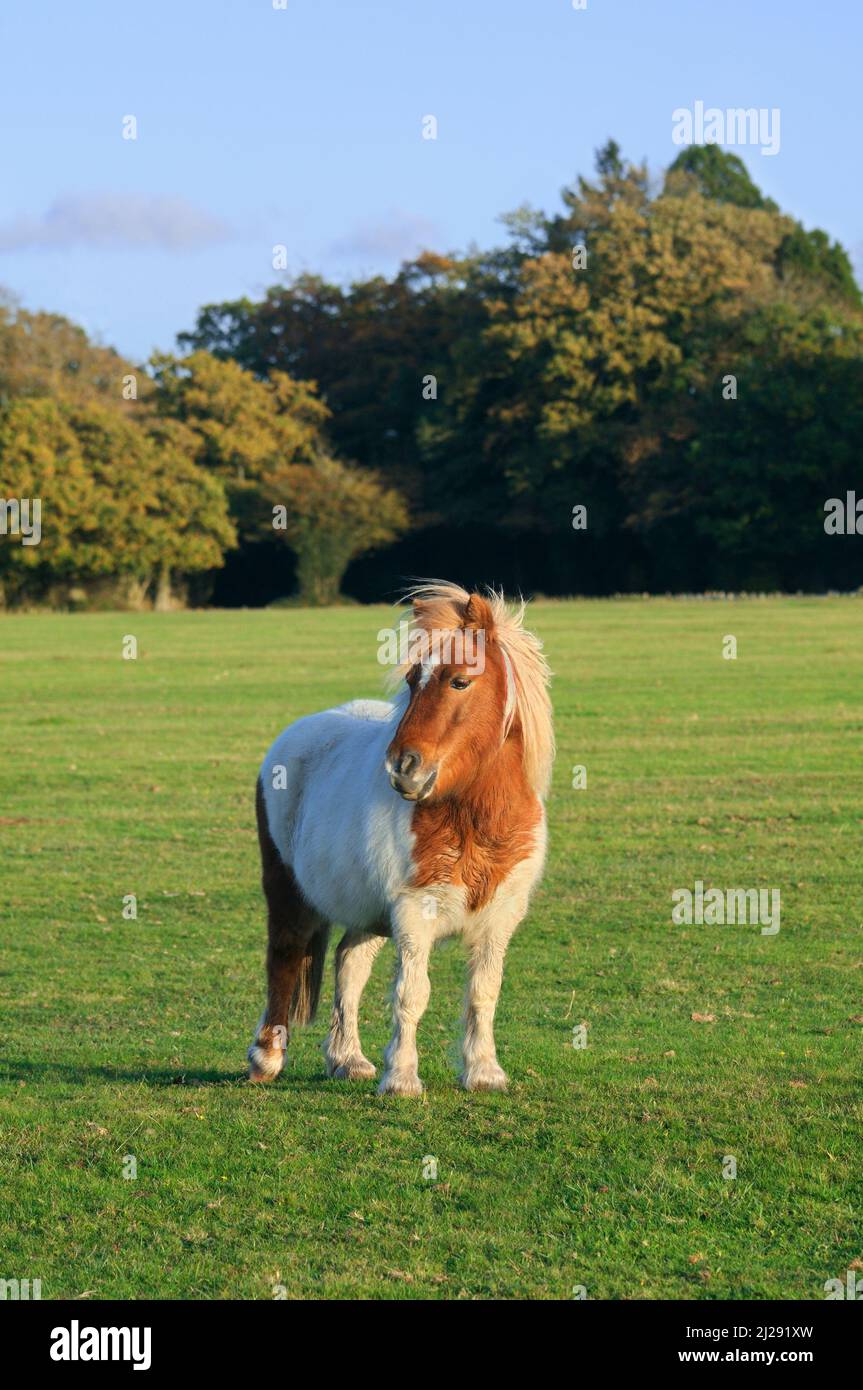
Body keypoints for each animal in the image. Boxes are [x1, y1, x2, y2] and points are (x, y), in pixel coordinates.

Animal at [245, 578, 555, 1095]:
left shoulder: (500, 918)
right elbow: (412, 994)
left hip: (364, 908)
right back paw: (266, 1058)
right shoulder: (414, 913)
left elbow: (483, 992)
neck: (472, 820)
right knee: (284, 957)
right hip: (287, 889)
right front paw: (403, 1078)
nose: (402, 767)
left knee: (349, 964)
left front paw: (484, 1072)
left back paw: (348, 1058)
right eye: (412, 681)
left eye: (459, 680)